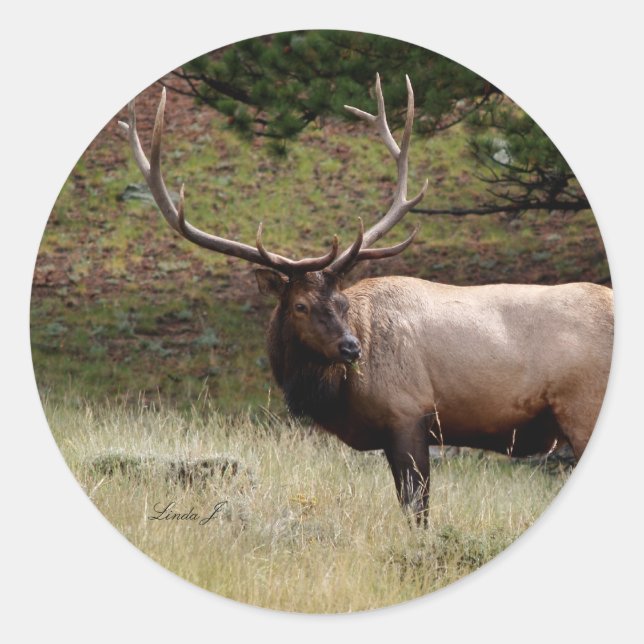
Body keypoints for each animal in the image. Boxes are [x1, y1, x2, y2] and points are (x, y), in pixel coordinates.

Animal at [119, 75, 613, 525]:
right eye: (300, 305)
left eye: (340, 303)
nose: (351, 347)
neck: (336, 396)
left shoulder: (408, 414)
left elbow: (417, 512)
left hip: (583, 407)